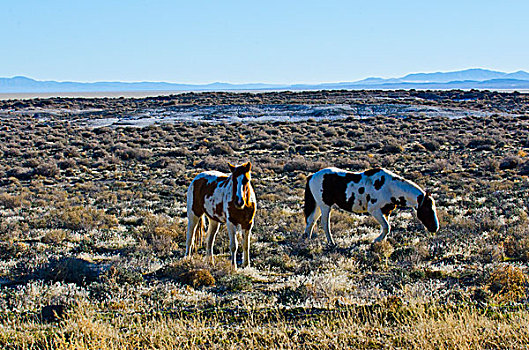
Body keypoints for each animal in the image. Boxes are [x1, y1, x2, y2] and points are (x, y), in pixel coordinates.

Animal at [304, 167, 440, 245]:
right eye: (427, 209)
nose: (435, 228)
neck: (390, 187)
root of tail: (312, 176)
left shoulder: (386, 212)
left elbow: (385, 227)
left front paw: (381, 242)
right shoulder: (375, 210)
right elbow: (387, 227)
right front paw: (376, 240)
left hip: (319, 205)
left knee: (311, 221)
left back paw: (306, 240)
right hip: (325, 206)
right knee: (324, 223)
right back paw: (331, 243)